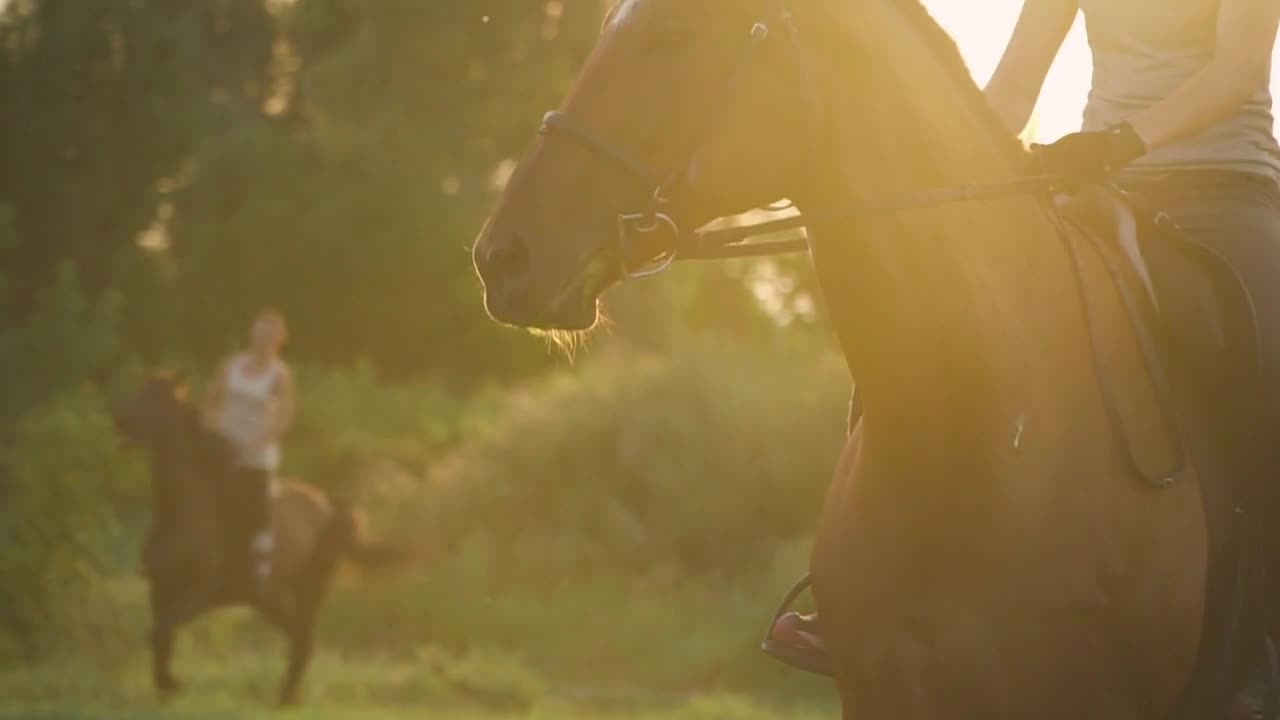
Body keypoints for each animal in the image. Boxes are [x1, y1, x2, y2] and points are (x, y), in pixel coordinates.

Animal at [115, 368, 407, 702]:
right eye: (141, 389)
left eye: (156, 397)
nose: (120, 419)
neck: (183, 511)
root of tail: (326, 503)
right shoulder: (161, 588)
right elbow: (162, 638)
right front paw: (167, 684)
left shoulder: (198, 593)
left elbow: (159, 632)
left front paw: (172, 683)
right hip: (269, 597)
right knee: (298, 637)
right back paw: (285, 696)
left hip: (310, 587)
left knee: (303, 637)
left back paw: (287, 697)